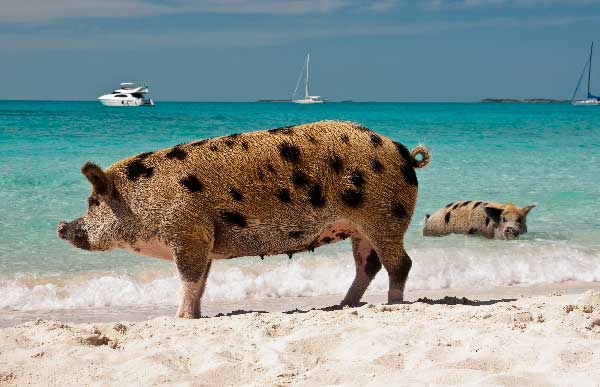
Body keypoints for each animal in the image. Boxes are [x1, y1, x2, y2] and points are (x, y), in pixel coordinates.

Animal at [57, 120, 432, 318]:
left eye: (92, 202)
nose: (61, 226)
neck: (145, 197)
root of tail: (404, 153)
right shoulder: (204, 238)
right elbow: (201, 282)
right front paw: (195, 316)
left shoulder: (187, 232)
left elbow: (188, 279)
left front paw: (178, 318)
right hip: (361, 227)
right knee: (369, 265)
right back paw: (343, 304)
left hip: (384, 218)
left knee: (401, 263)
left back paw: (393, 303)